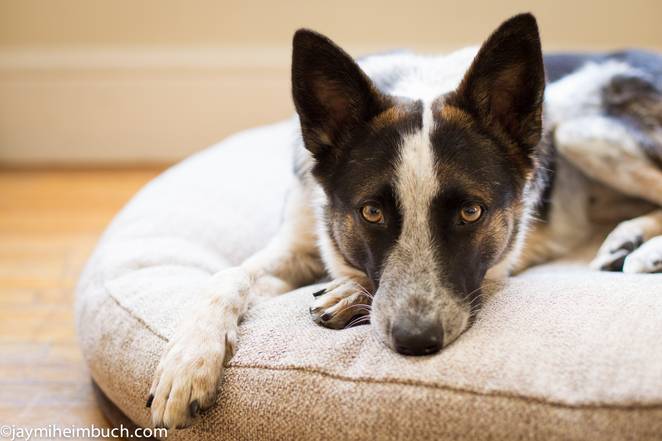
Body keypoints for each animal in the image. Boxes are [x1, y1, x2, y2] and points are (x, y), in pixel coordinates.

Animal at [147, 12, 662, 426]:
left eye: (471, 212)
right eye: (371, 212)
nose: (416, 343)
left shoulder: (497, 262)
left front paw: (346, 292)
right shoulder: (298, 241)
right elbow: (226, 276)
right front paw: (187, 362)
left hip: (582, 126)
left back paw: (645, 250)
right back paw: (627, 238)